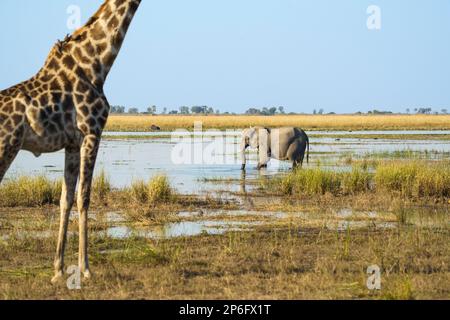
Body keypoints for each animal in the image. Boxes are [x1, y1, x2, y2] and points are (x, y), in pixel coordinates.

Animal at [0, 0, 142, 282]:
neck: (96, 64)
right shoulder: (92, 132)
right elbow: (84, 197)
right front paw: (86, 268)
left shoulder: (72, 144)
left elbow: (65, 198)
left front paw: (58, 269)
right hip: (6, 146)